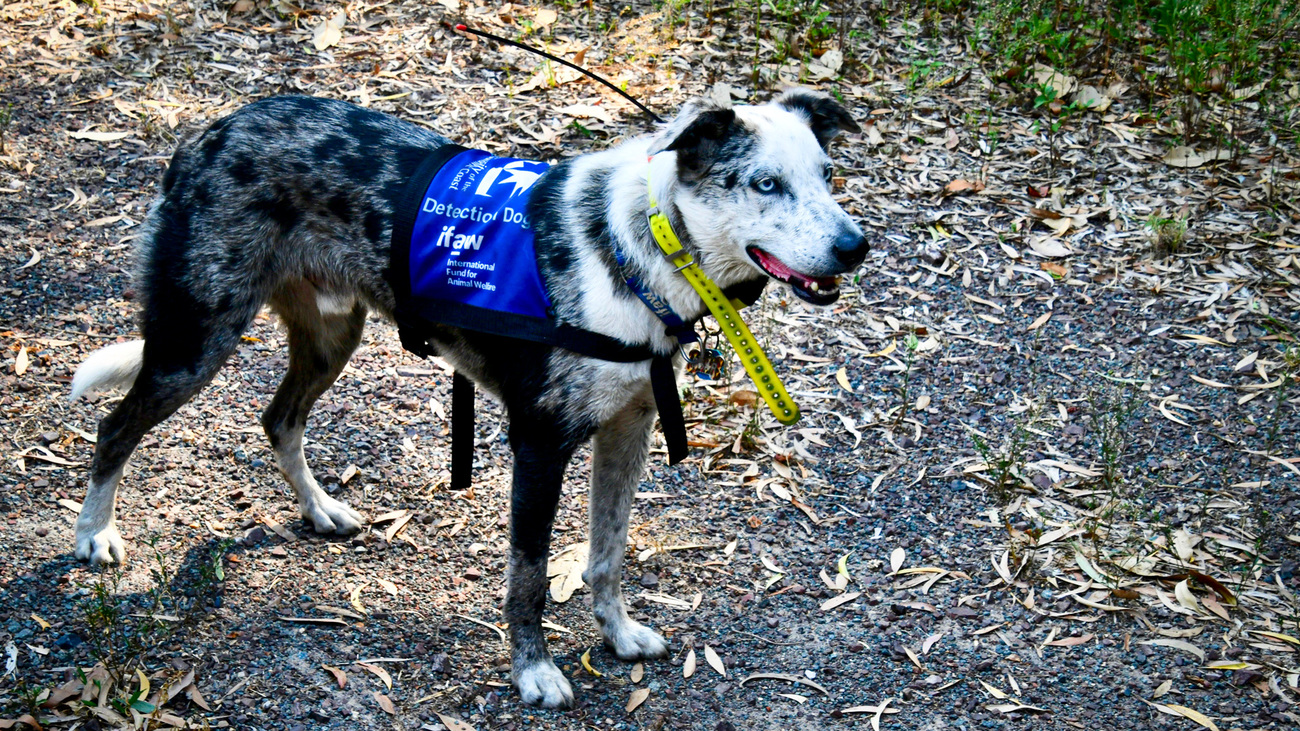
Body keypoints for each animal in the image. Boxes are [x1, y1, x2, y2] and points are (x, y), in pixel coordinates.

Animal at [68, 88, 863, 702]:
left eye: (828, 175)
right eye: (765, 183)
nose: (855, 247)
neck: (636, 249)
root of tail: (210, 132)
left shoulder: (628, 428)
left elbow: (607, 551)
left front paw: (617, 632)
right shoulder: (540, 443)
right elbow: (531, 576)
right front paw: (534, 672)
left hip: (331, 334)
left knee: (278, 418)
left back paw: (321, 508)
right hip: (197, 341)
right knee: (115, 427)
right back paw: (95, 536)